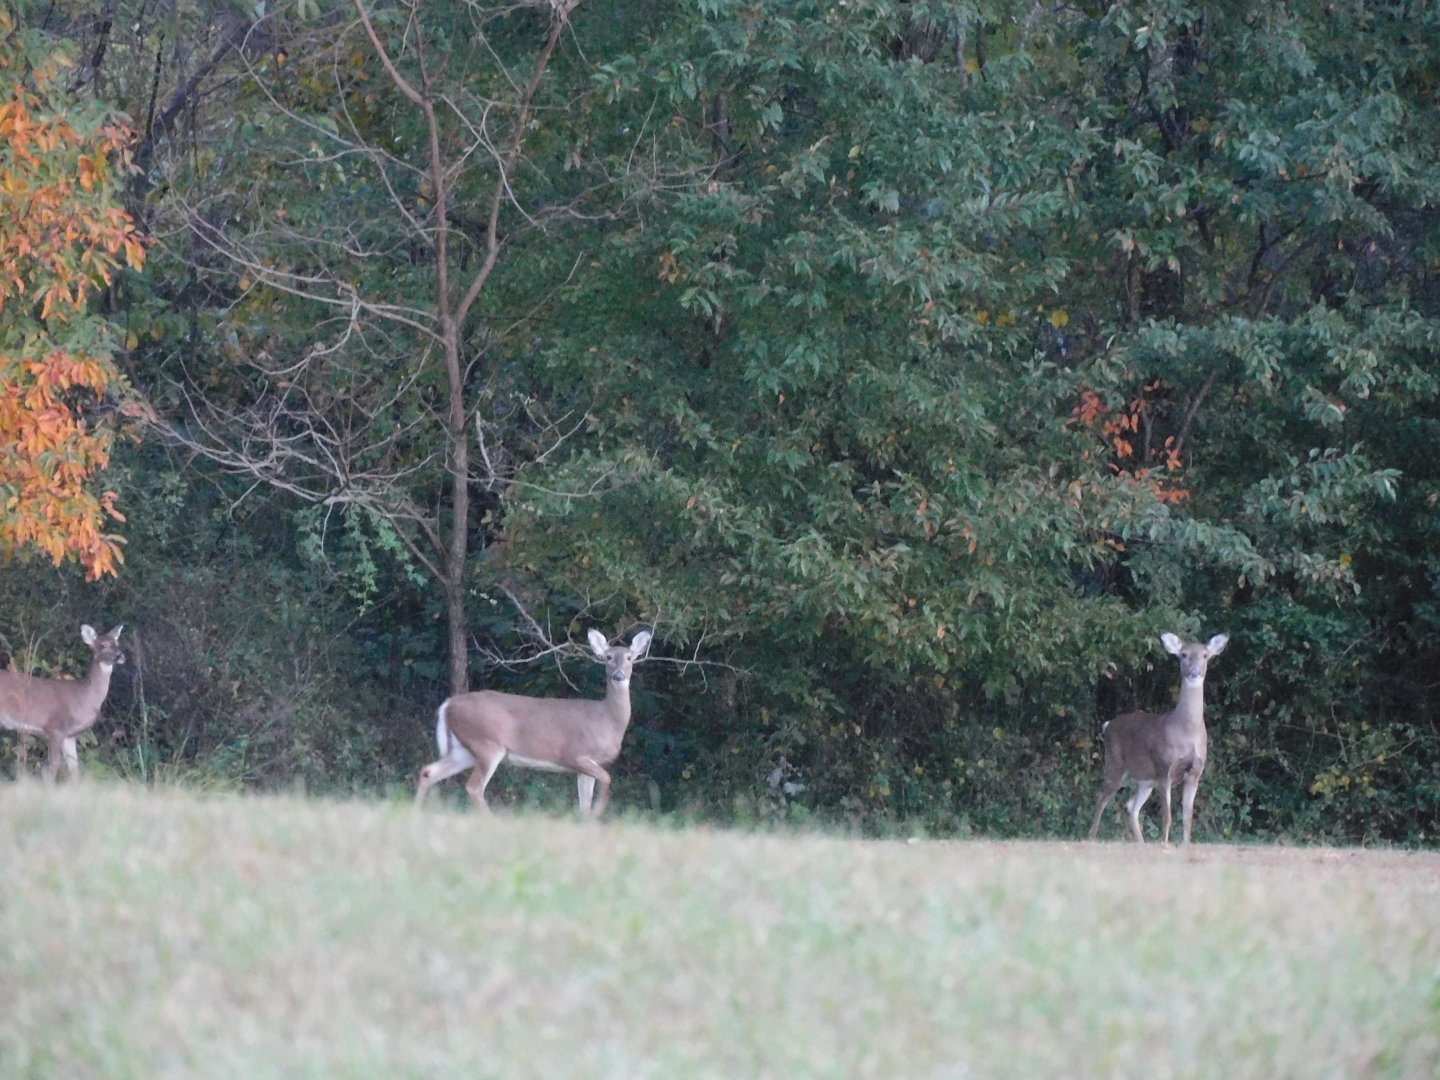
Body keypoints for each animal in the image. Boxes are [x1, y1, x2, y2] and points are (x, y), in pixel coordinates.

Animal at [0, 624, 125, 783]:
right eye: (103, 645)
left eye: (117, 643)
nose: (120, 656)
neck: (84, 697)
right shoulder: (55, 729)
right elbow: (51, 770)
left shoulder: (70, 736)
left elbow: (75, 771)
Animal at [415, 628, 652, 818]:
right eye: (608, 657)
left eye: (629, 657)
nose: (619, 676)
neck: (608, 720)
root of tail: (448, 705)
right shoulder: (573, 754)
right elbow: (607, 779)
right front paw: (598, 812)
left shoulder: (588, 765)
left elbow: (584, 802)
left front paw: (589, 820)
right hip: (486, 743)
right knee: (474, 787)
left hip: (464, 749)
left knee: (429, 771)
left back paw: (416, 813)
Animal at [1088, 631, 1229, 846]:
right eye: (1183, 655)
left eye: (1205, 655)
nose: (1194, 671)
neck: (1187, 732)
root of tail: (1108, 725)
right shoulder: (1164, 769)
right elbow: (1167, 816)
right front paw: (1165, 844)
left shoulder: (1195, 773)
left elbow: (1187, 817)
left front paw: (1185, 845)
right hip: (1115, 763)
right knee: (1101, 798)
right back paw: (1091, 838)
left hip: (1146, 780)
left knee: (1131, 806)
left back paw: (1141, 843)